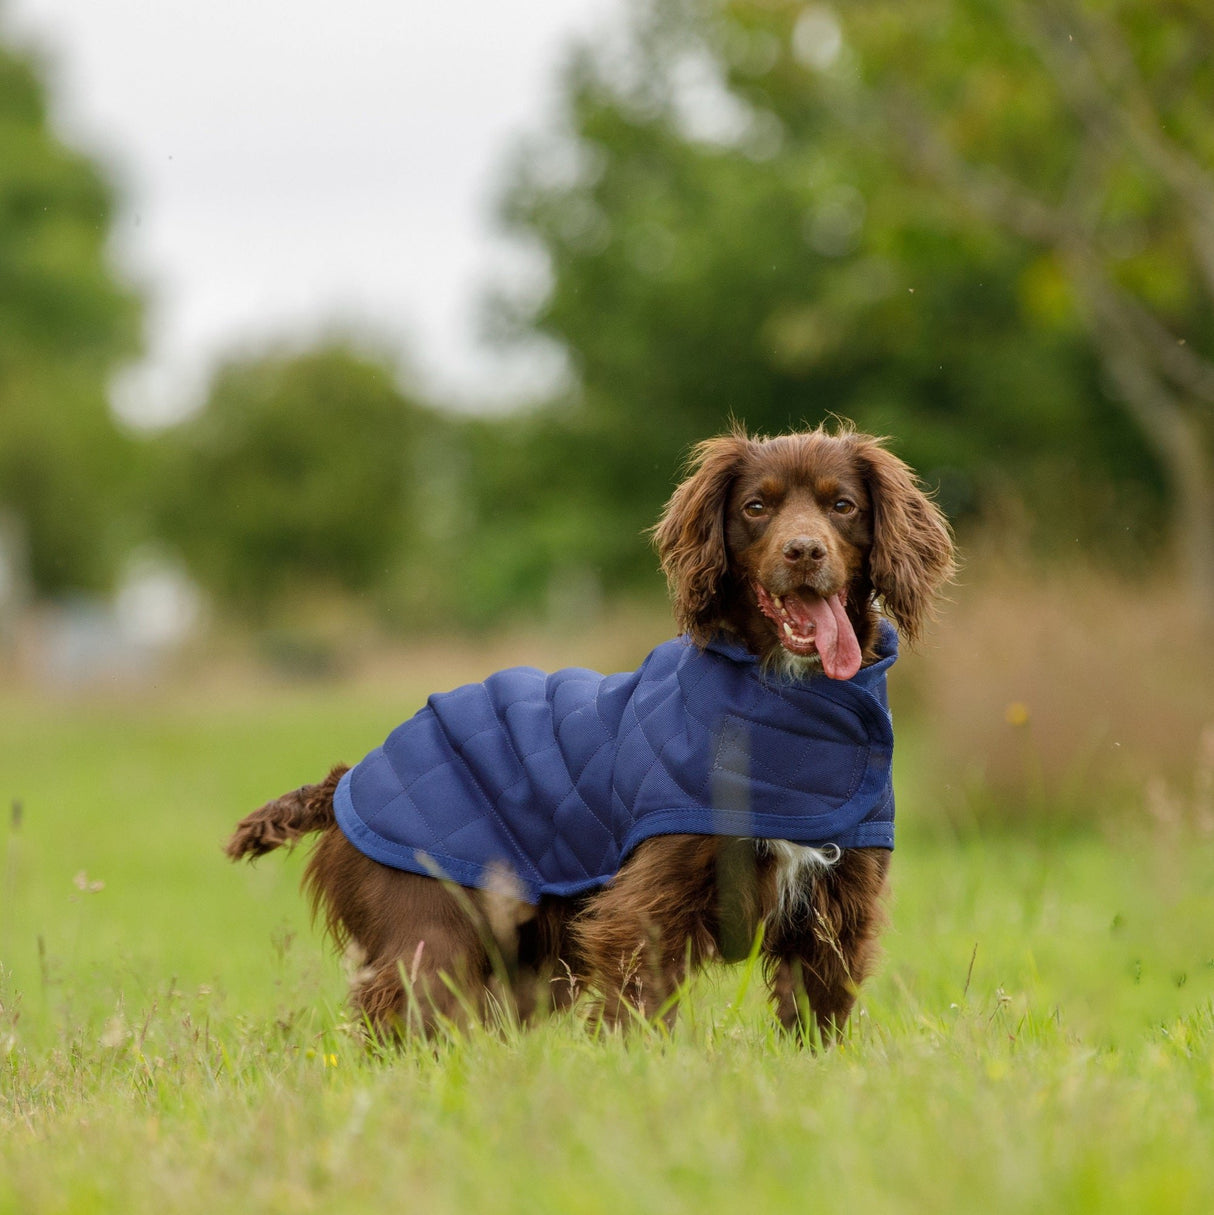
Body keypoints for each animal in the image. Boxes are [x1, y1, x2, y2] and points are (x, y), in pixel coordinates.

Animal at [226, 422, 947, 1040]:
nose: (805, 551)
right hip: (431, 924)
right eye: (756, 507)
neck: (787, 694)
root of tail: (350, 777)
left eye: (843, 505)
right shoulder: (647, 903)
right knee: (399, 1009)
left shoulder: (837, 906)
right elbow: (639, 1005)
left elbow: (819, 1014)